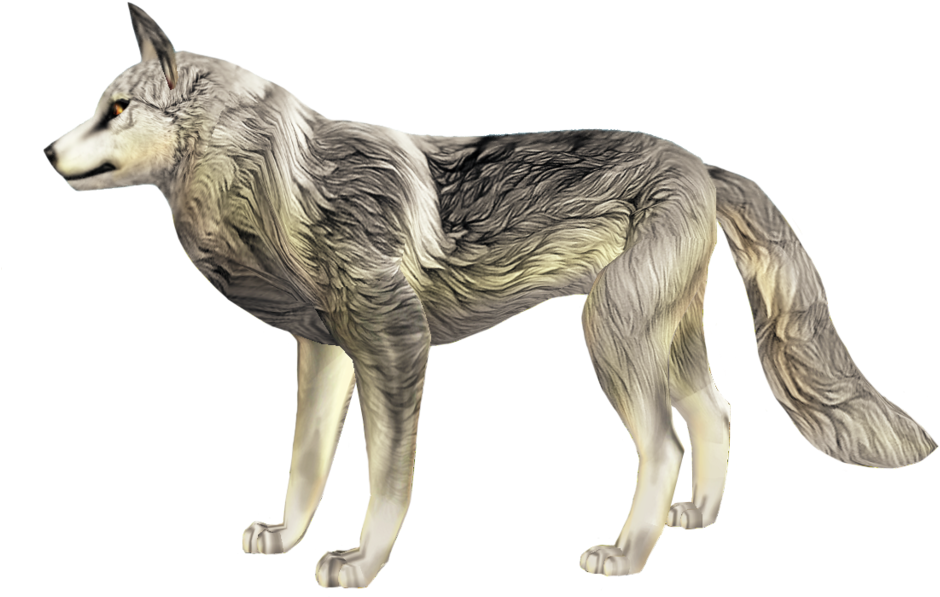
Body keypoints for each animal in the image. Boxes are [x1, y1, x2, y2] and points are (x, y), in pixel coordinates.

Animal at [43, 2, 935, 588]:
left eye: (117, 109)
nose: (46, 152)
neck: (282, 182)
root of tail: (702, 165)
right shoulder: (327, 354)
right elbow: (306, 467)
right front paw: (289, 537)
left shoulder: (395, 348)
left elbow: (386, 482)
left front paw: (362, 564)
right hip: (659, 340)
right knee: (715, 413)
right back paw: (698, 518)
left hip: (610, 342)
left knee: (666, 443)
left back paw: (626, 555)